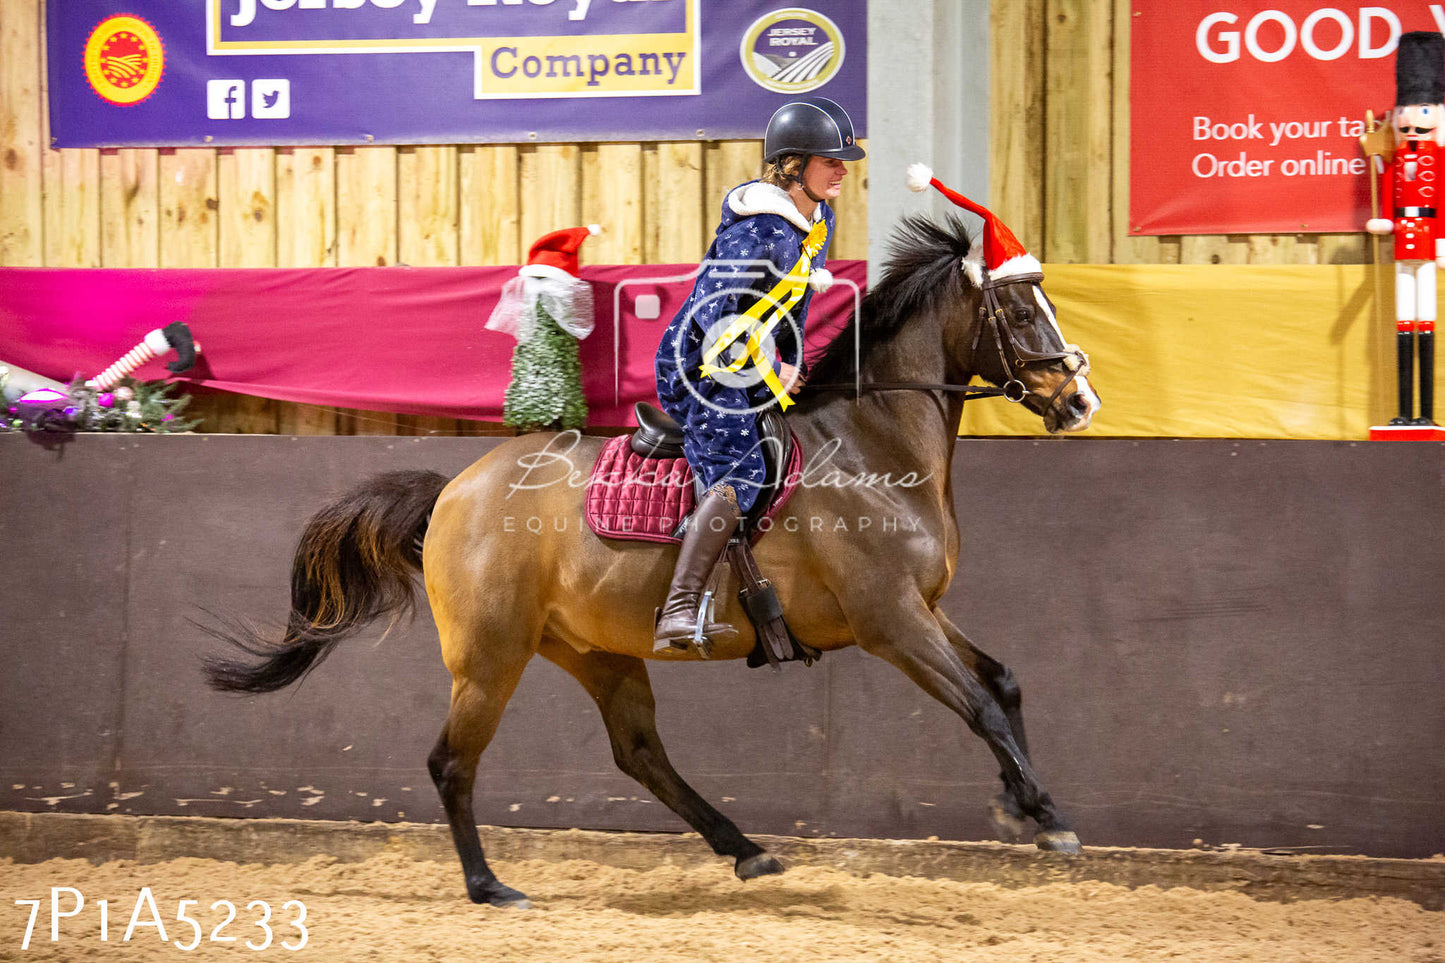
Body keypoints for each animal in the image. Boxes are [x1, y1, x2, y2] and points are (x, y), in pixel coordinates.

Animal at [203, 214, 1098, 902]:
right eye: (1021, 313)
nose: (1080, 399)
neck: (869, 446)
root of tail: (456, 487)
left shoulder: (925, 607)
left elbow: (1002, 681)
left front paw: (1033, 806)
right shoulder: (890, 620)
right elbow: (979, 707)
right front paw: (1040, 812)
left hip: (594, 650)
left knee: (638, 752)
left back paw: (745, 847)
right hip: (491, 656)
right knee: (452, 761)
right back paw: (489, 884)